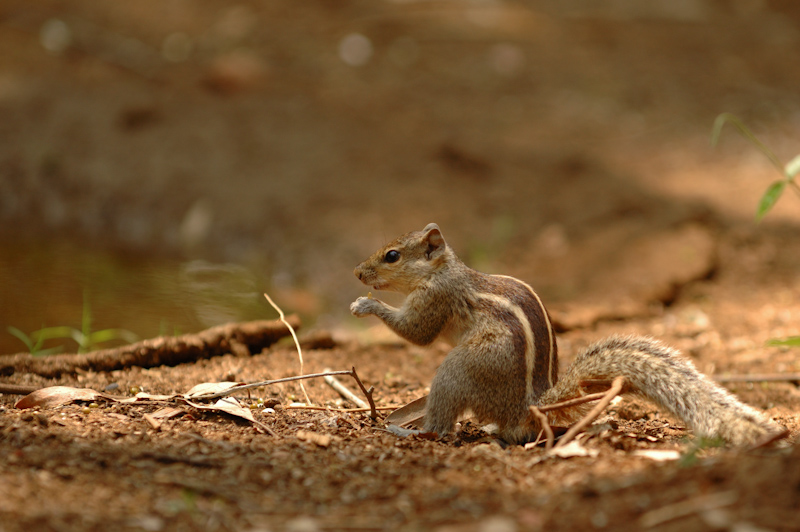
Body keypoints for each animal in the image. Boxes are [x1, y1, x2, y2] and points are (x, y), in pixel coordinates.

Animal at [348, 222, 780, 446]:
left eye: (392, 256)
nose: (357, 273)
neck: (443, 270)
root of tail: (530, 406)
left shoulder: (436, 298)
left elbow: (417, 333)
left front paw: (365, 306)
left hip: (461, 369)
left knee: (441, 426)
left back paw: (404, 429)